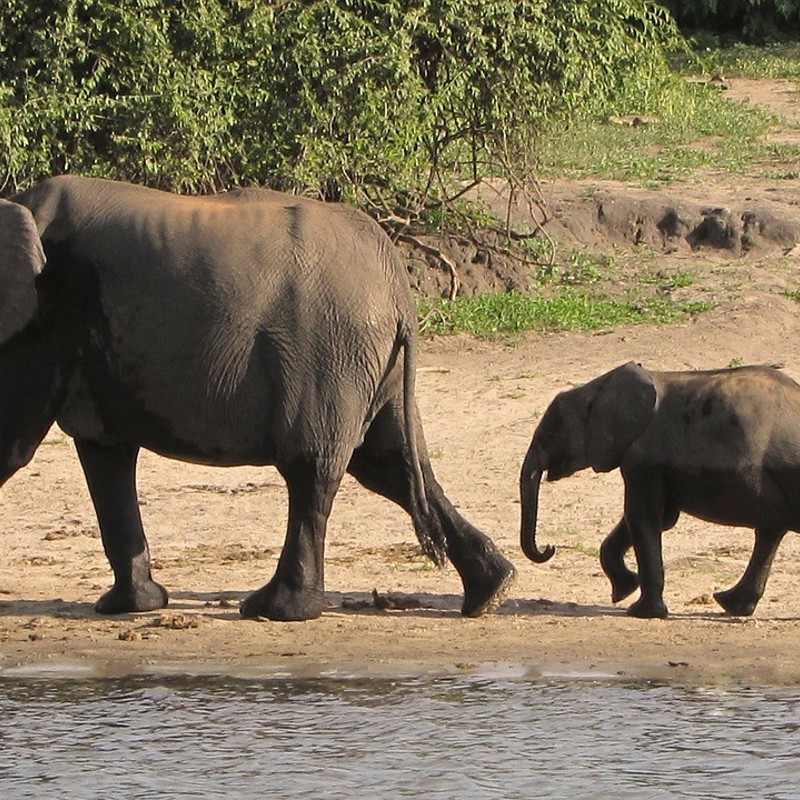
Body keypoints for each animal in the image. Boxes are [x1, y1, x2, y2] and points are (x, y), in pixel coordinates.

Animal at [0, 175, 515, 621]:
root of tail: (398, 291)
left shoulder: (42, 322)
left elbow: (13, 447)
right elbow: (105, 453)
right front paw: (131, 607)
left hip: (329, 350)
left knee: (314, 468)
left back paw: (277, 610)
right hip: (369, 361)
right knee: (393, 464)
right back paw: (491, 591)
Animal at [519, 360, 800, 618]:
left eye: (549, 435)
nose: (549, 548)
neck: (596, 389)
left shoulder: (644, 460)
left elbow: (642, 516)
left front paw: (640, 611)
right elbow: (656, 518)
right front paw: (625, 590)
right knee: (769, 533)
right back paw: (732, 605)